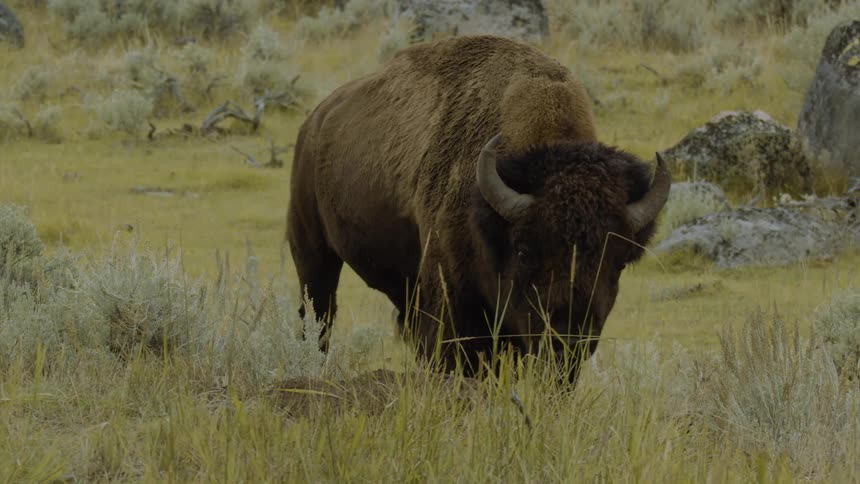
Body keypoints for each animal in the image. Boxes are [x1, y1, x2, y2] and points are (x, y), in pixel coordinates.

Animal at [287, 35, 670, 381]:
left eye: (619, 260)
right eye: (524, 250)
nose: (567, 336)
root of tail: (315, 122)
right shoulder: (454, 304)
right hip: (312, 251)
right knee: (319, 312)